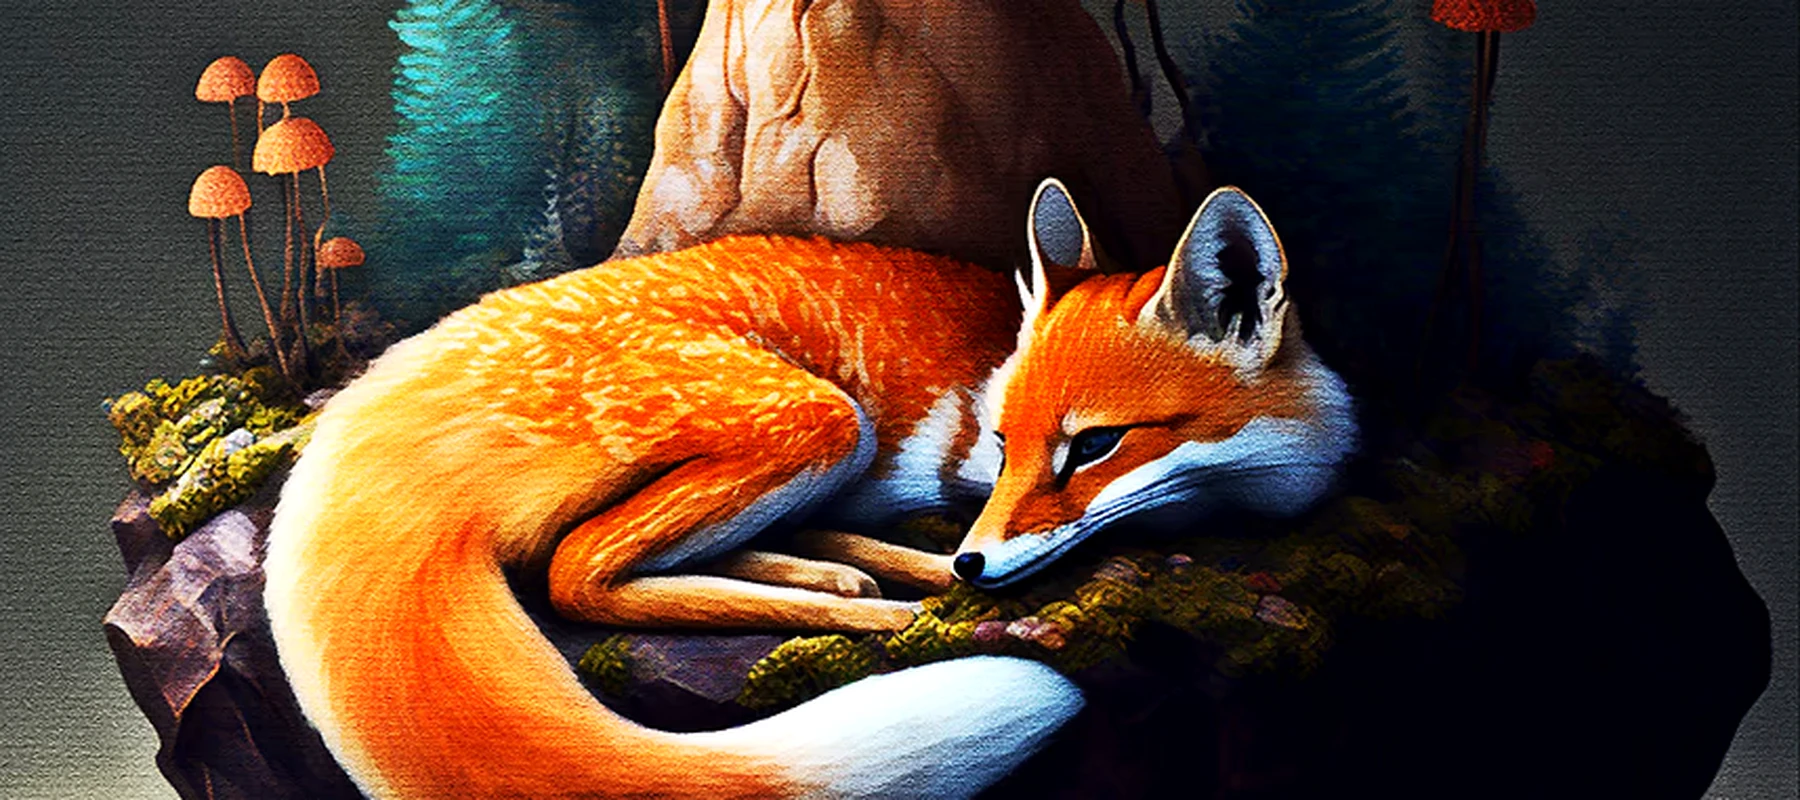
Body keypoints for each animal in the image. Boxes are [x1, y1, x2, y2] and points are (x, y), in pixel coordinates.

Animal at [263, 179, 1357, 798]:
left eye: (1092, 446)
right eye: (1007, 441)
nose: (975, 558)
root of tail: (388, 384)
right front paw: (944, 581)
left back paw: (852, 580)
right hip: (823, 418)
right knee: (573, 571)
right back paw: (884, 609)